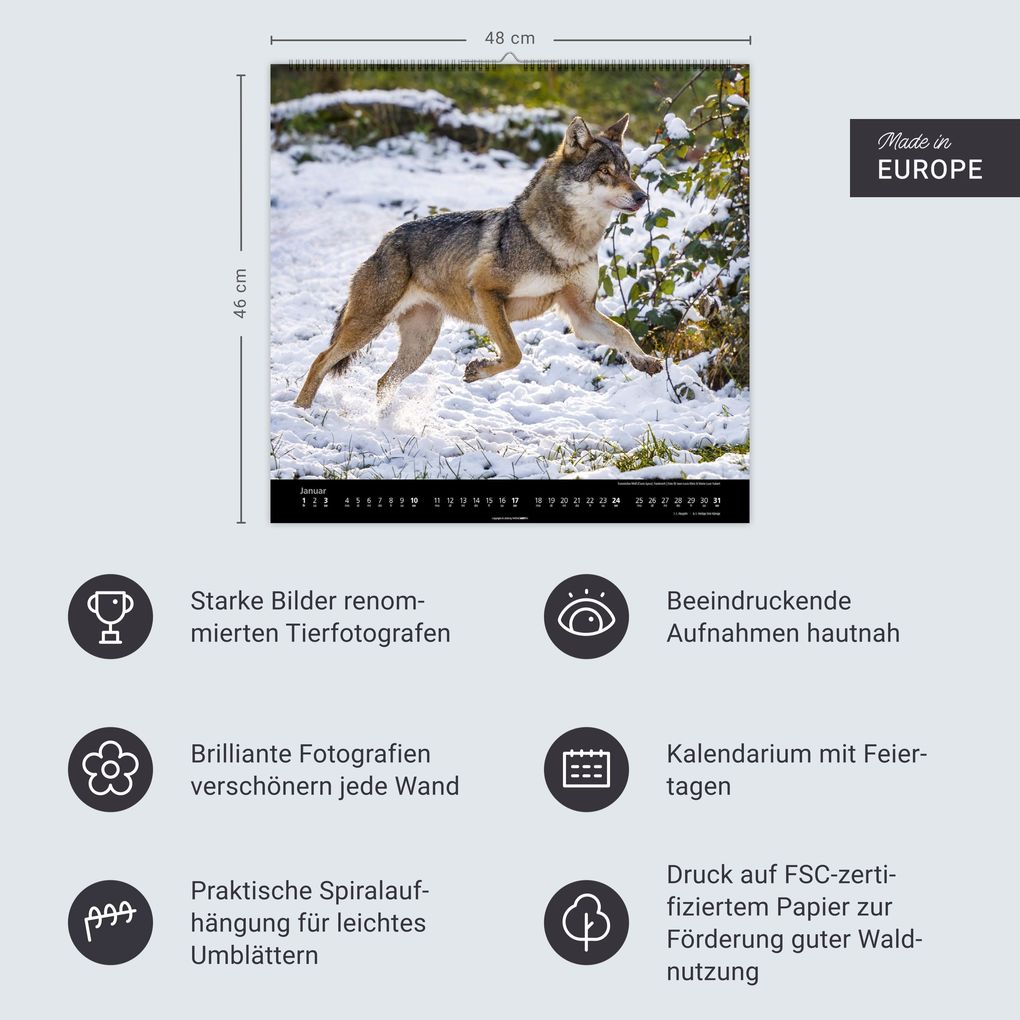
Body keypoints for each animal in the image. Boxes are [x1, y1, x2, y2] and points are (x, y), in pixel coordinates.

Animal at [294, 113, 663, 409]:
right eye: (605, 172)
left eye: (628, 171)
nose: (642, 196)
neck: (565, 244)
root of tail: (385, 241)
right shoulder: (486, 293)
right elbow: (514, 353)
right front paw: (477, 370)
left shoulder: (581, 313)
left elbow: (622, 334)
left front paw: (645, 361)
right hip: (369, 325)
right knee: (321, 359)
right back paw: (302, 411)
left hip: (420, 345)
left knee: (383, 381)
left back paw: (384, 422)